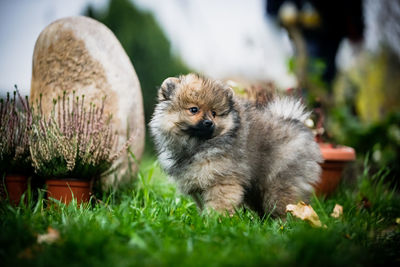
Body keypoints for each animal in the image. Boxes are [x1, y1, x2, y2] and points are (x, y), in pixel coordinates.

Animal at [150, 73, 322, 218]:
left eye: (214, 113)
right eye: (194, 109)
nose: (209, 122)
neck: (197, 146)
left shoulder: (222, 181)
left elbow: (219, 204)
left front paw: (215, 220)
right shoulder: (197, 184)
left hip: (279, 182)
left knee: (284, 202)